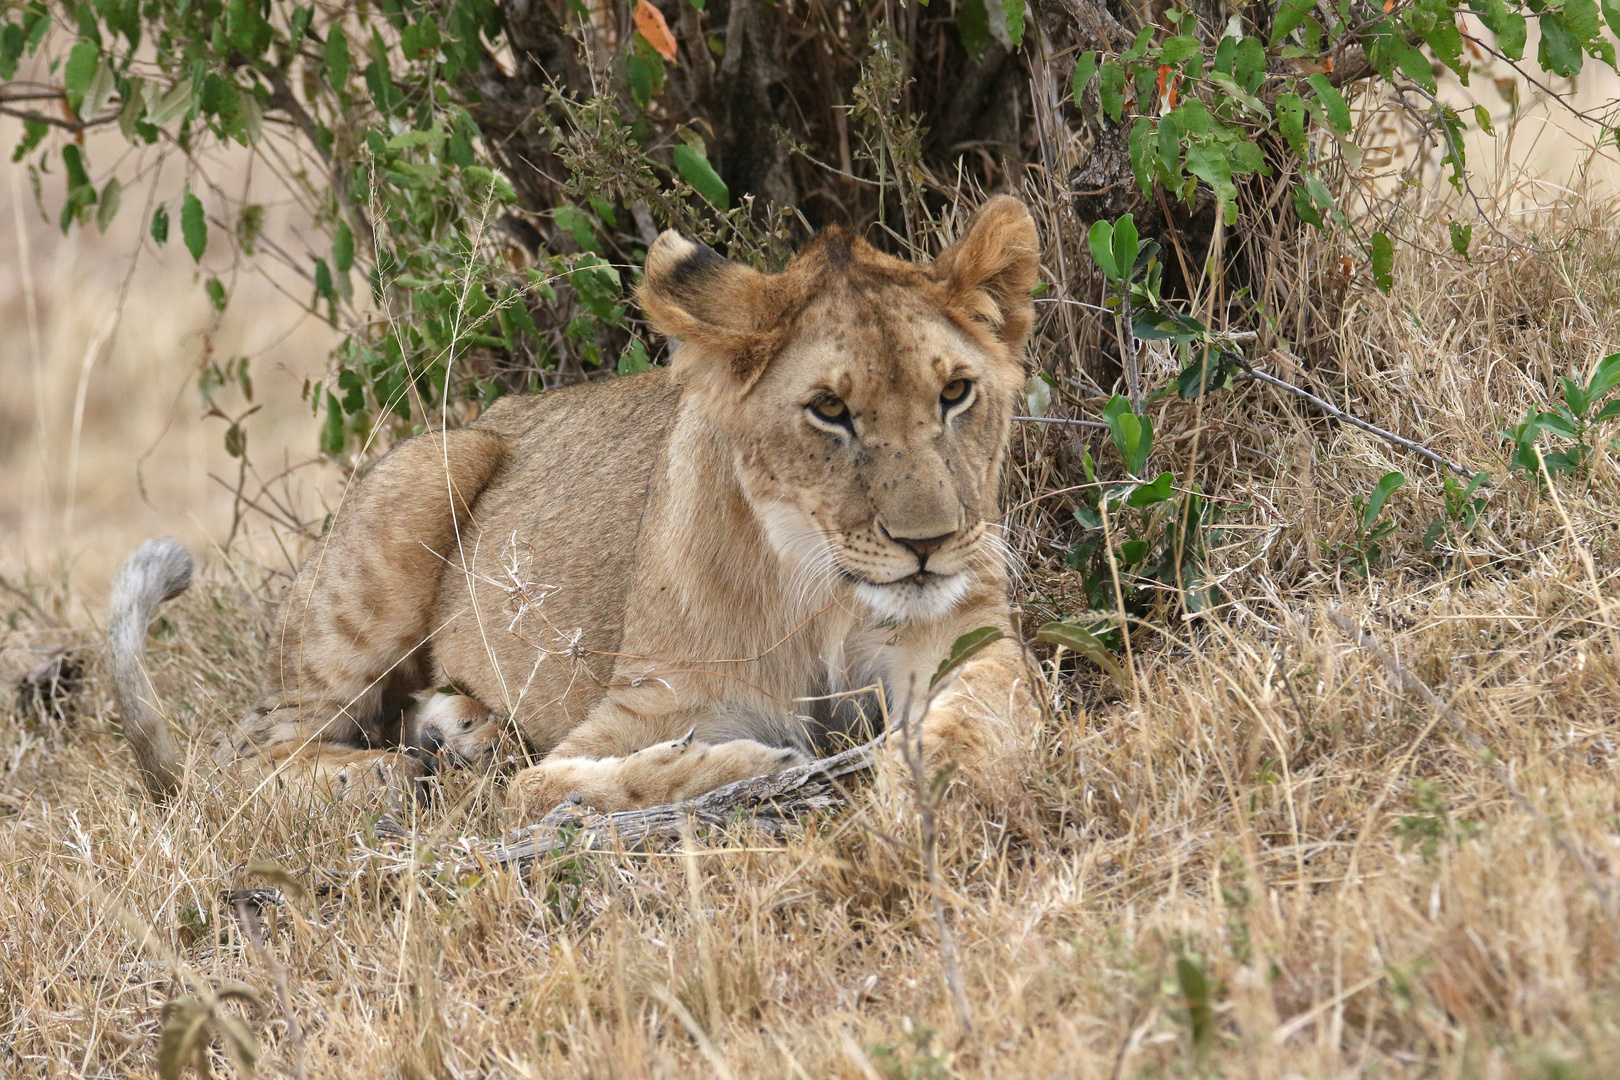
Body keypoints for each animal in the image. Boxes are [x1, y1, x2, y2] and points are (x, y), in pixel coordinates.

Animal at [117, 196, 1049, 819]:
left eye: (956, 393)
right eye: (830, 410)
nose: (930, 543)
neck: (818, 587)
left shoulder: (964, 637)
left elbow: (983, 711)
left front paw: (941, 789)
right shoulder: (642, 707)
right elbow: (565, 786)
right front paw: (758, 763)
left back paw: (460, 732)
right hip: (428, 472)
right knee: (248, 753)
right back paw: (384, 771)